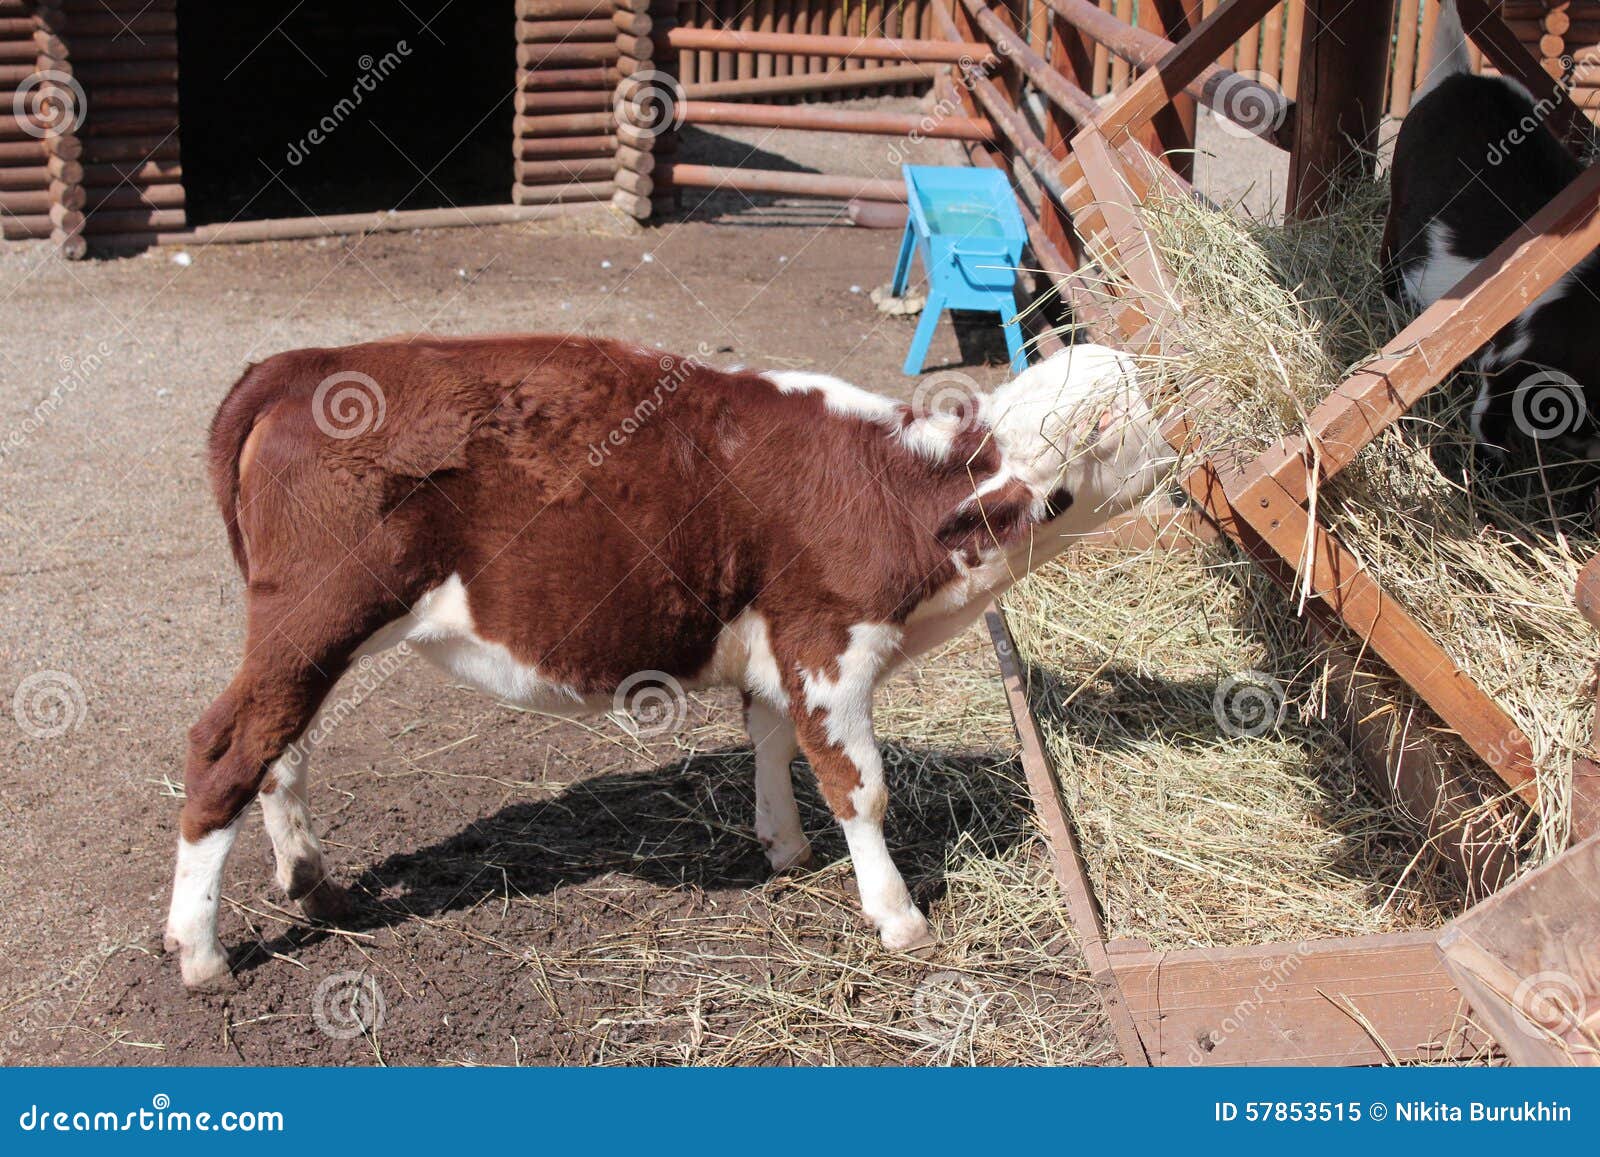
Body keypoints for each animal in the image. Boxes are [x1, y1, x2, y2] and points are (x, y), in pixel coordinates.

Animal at [165, 333, 1170, 990]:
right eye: (1119, 423)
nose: (1184, 438)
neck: (892, 493)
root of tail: (297, 364)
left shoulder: (773, 648)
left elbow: (772, 742)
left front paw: (784, 846)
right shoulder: (827, 644)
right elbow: (860, 785)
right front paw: (896, 914)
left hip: (307, 633)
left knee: (281, 745)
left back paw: (308, 876)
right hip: (318, 610)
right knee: (223, 748)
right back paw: (202, 951)